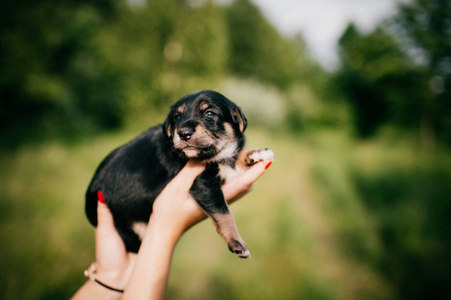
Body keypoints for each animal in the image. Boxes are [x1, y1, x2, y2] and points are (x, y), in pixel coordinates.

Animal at [86, 89, 274, 258]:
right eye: (176, 117)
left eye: (209, 113)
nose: (183, 133)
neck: (216, 156)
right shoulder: (203, 184)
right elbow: (224, 213)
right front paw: (237, 243)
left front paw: (256, 154)